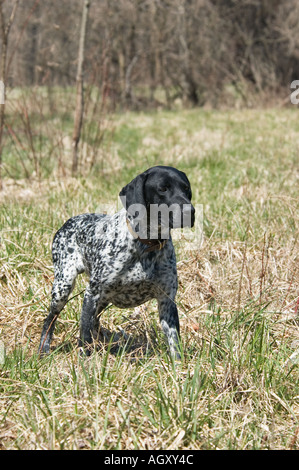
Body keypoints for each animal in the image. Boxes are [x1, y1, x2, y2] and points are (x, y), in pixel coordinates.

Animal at [38, 167, 196, 358]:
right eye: (162, 188)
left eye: (186, 188)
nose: (190, 212)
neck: (146, 245)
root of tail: (68, 222)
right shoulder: (91, 294)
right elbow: (84, 334)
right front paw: (85, 360)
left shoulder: (167, 301)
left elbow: (174, 343)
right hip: (63, 288)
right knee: (50, 320)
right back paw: (44, 349)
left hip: (102, 299)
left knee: (95, 321)